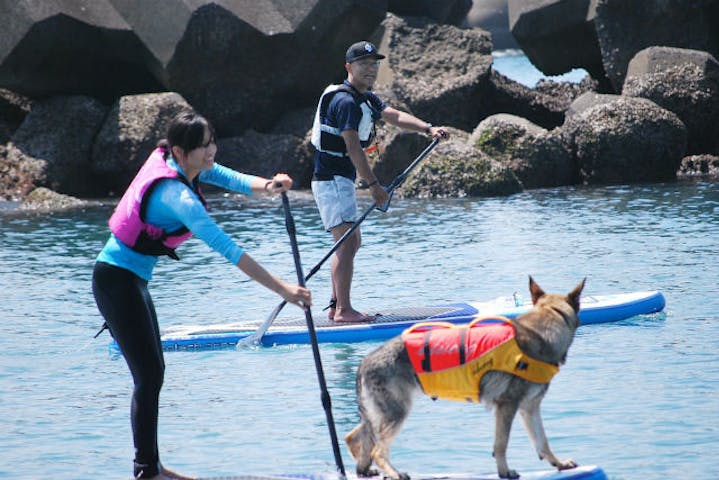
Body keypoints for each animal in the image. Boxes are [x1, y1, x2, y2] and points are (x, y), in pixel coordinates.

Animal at [346, 276, 588, 478]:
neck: (546, 324)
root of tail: (365, 361)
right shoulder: (507, 406)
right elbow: (501, 444)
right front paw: (505, 472)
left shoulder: (529, 407)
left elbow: (542, 442)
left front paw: (559, 464)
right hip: (396, 413)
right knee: (377, 451)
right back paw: (394, 473)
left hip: (381, 415)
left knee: (355, 439)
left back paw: (365, 470)